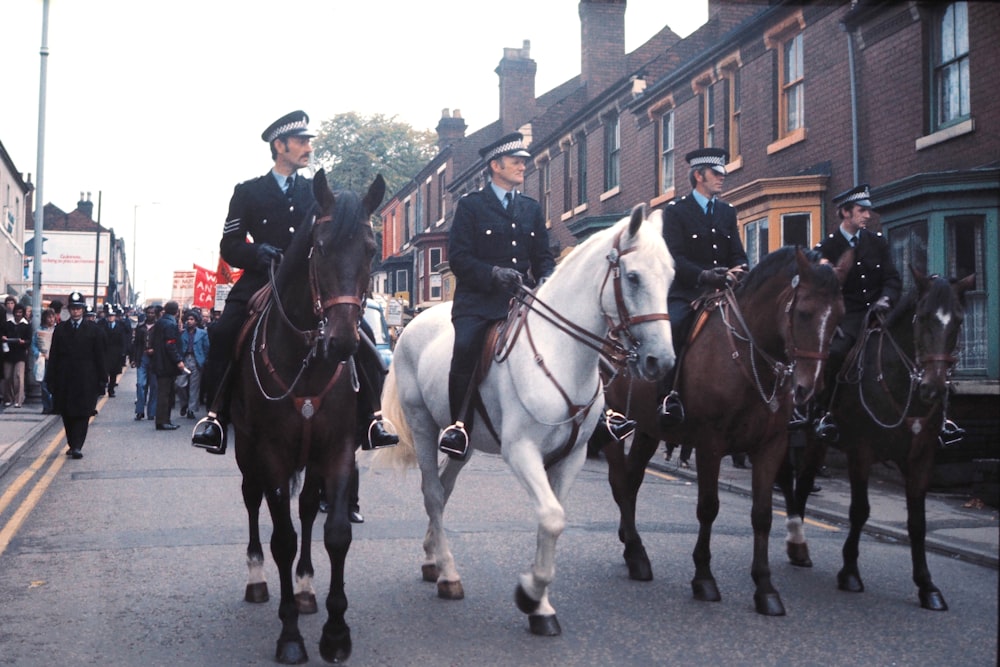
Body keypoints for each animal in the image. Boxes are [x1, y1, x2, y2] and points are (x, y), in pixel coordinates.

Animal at [232, 168, 384, 664]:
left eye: (371, 249)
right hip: (245, 450)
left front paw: (335, 633)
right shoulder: (272, 453)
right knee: (252, 500)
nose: (343, 342)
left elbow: (334, 533)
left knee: (305, 510)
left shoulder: (337, 449)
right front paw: (291, 637)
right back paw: (257, 578)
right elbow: (282, 538)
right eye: (319, 246)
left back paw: (304, 587)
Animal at [378, 204, 676, 636]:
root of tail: (413, 325)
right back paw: (448, 573)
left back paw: (433, 558)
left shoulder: (571, 457)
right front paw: (529, 595)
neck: (561, 353)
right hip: (422, 426)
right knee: (432, 492)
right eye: (634, 277)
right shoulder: (521, 452)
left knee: (443, 489)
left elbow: (552, 519)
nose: (661, 361)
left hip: (464, 441)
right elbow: (551, 518)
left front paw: (541, 607)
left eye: (671, 276)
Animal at [592, 248, 852, 620]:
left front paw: (765, 588)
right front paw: (704, 578)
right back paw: (637, 555)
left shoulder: (771, 446)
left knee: (631, 481)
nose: (808, 389)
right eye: (803, 312)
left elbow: (762, 515)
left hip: (648, 429)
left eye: (839, 317)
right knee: (619, 482)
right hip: (613, 421)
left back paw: (633, 548)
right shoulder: (710, 443)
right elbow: (708, 507)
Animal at [772, 266, 976, 612]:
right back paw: (794, 538)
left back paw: (799, 546)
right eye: (923, 317)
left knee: (805, 481)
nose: (934, 389)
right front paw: (850, 573)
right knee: (788, 479)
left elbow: (918, 521)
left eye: (959, 321)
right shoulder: (861, 452)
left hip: (817, 441)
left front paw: (927, 586)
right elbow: (860, 511)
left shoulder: (920, 458)